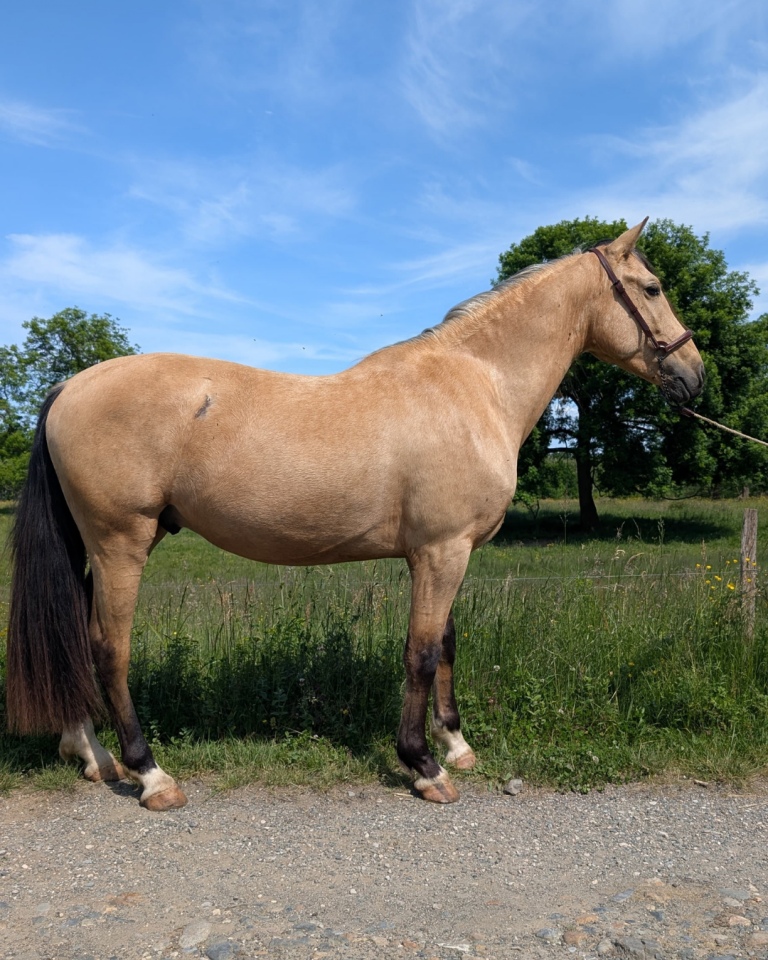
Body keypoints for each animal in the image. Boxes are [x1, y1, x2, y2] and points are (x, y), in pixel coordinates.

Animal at [6, 219, 704, 811]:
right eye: (652, 287)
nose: (695, 376)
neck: (472, 386)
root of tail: (69, 386)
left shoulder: (447, 553)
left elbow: (445, 643)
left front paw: (456, 744)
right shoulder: (441, 551)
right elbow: (420, 652)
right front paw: (423, 766)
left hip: (104, 546)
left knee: (74, 634)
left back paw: (90, 753)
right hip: (121, 542)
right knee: (108, 648)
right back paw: (150, 774)